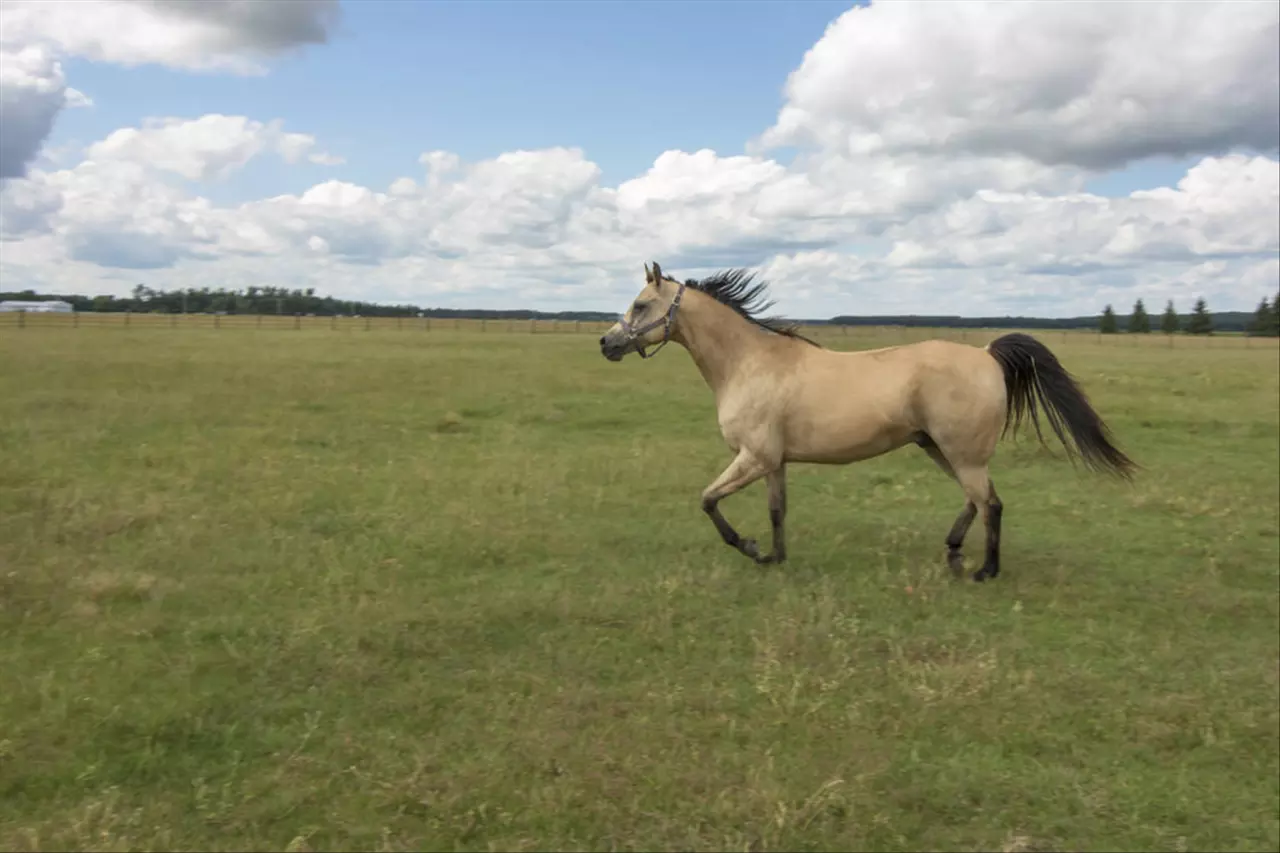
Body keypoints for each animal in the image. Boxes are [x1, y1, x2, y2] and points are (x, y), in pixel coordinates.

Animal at [593, 258, 1136, 578]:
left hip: (961, 453)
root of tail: (986, 355)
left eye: (640, 305)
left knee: (991, 504)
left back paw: (985, 570)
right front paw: (774, 557)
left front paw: (747, 546)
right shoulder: (773, 462)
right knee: (977, 500)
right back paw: (954, 551)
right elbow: (777, 511)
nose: (606, 343)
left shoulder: (754, 457)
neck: (749, 363)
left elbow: (708, 500)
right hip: (941, 449)